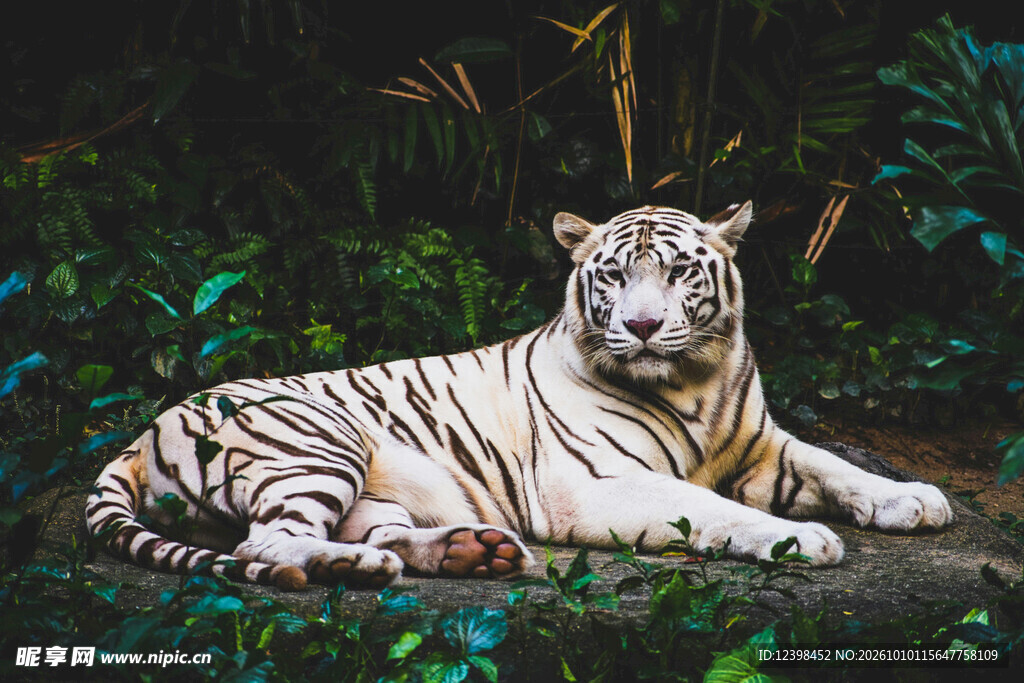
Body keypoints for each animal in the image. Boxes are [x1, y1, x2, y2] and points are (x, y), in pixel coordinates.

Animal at [87, 202, 953, 591]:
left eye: (678, 271)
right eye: (614, 275)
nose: (642, 326)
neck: (694, 380)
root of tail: (138, 436)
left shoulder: (763, 444)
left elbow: (837, 464)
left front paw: (914, 498)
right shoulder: (598, 483)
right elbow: (713, 508)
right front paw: (801, 539)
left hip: (372, 485)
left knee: (371, 530)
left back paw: (472, 550)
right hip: (318, 440)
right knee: (264, 543)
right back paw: (353, 565)